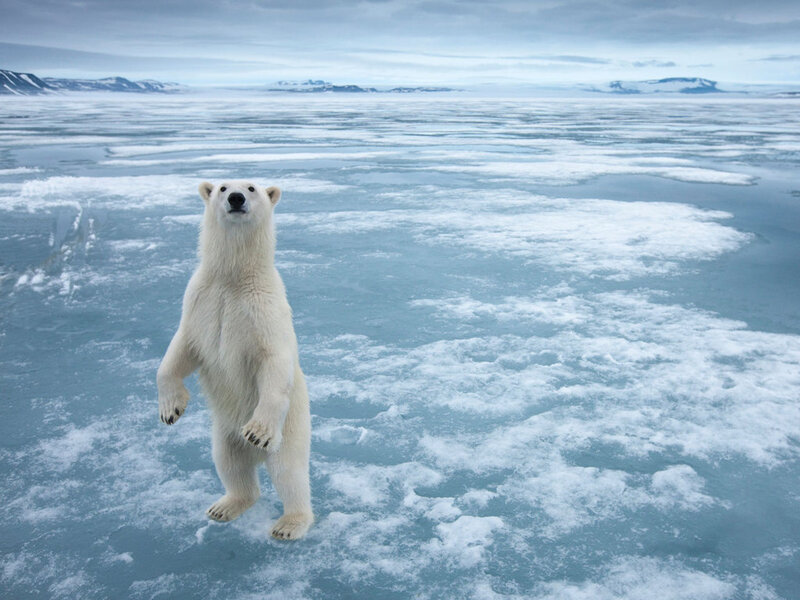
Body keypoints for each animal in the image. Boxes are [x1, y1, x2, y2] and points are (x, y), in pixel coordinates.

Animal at [157, 180, 313, 540]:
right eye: (223, 186)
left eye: (252, 187)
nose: (236, 198)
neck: (233, 278)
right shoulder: (200, 301)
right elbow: (180, 351)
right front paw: (171, 409)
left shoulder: (264, 310)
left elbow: (274, 361)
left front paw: (257, 431)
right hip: (224, 433)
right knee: (230, 465)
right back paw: (225, 506)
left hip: (292, 428)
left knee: (289, 472)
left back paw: (289, 523)